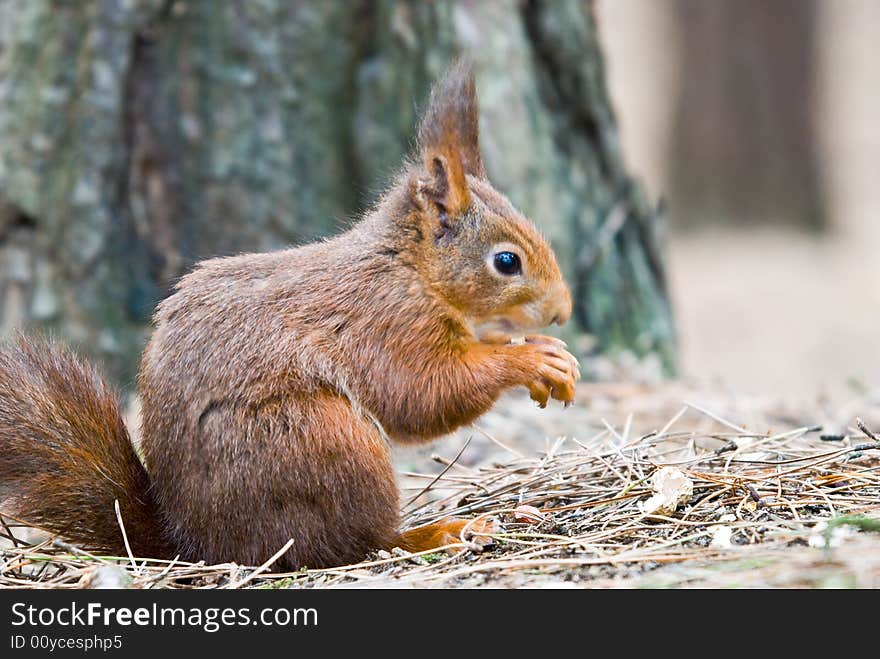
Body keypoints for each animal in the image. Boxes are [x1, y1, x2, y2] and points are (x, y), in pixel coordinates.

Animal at [0, 62, 576, 568]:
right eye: (507, 261)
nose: (563, 312)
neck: (410, 269)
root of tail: (195, 544)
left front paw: (552, 356)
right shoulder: (387, 322)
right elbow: (423, 394)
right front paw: (532, 361)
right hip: (321, 441)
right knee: (356, 543)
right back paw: (441, 532)